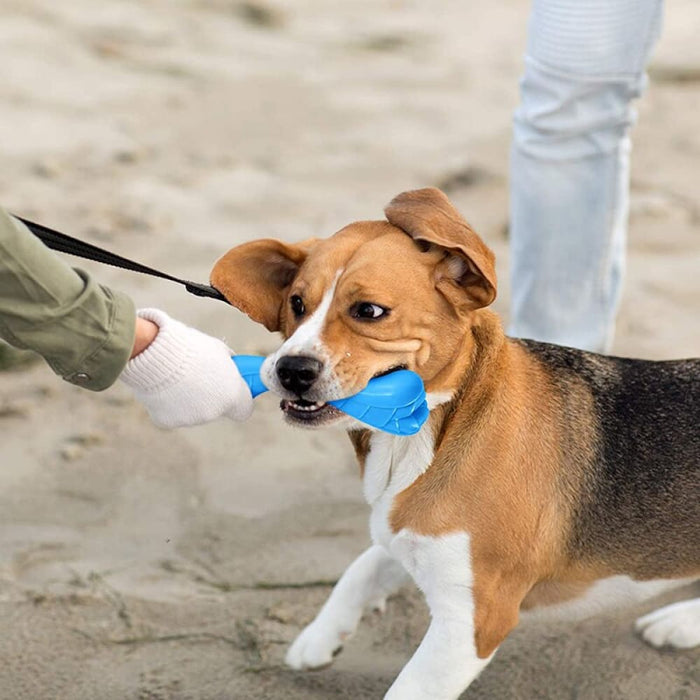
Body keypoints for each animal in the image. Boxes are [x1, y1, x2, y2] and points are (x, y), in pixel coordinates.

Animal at [212, 187, 700, 700]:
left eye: (369, 311)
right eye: (296, 303)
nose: (290, 370)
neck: (432, 432)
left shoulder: (473, 621)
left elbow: (407, 687)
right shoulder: (406, 531)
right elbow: (361, 567)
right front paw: (319, 637)